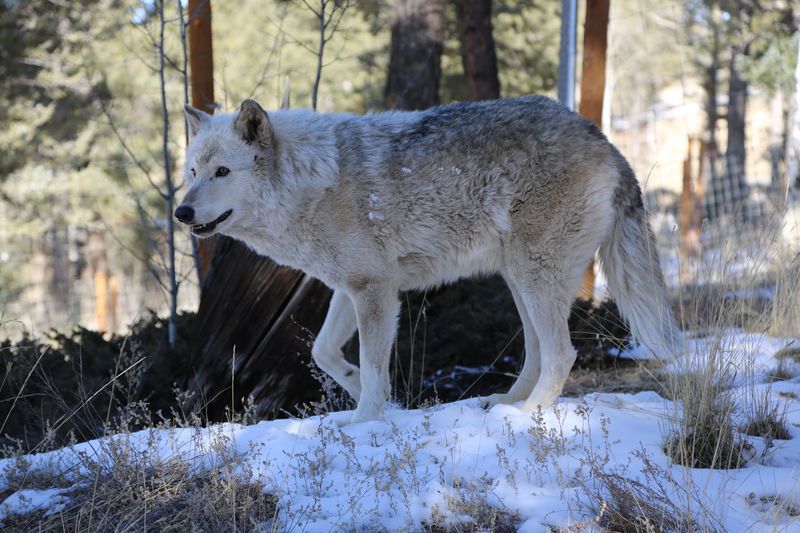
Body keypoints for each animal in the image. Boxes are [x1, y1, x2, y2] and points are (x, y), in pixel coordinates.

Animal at [176, 96, 680, 423]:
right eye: (193, 172)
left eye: (223, 172)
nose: (181, 212)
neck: (311, 181)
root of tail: (605, 140)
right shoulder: (351, 288)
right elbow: (325, 353)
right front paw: (378, 398)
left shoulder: (375, 292)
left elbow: (372, 366)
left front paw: (364, 422)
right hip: (519, 280)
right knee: (537, 352)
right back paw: (506, 403)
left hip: (535, 277)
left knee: (561, 353)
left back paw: (528, 414)